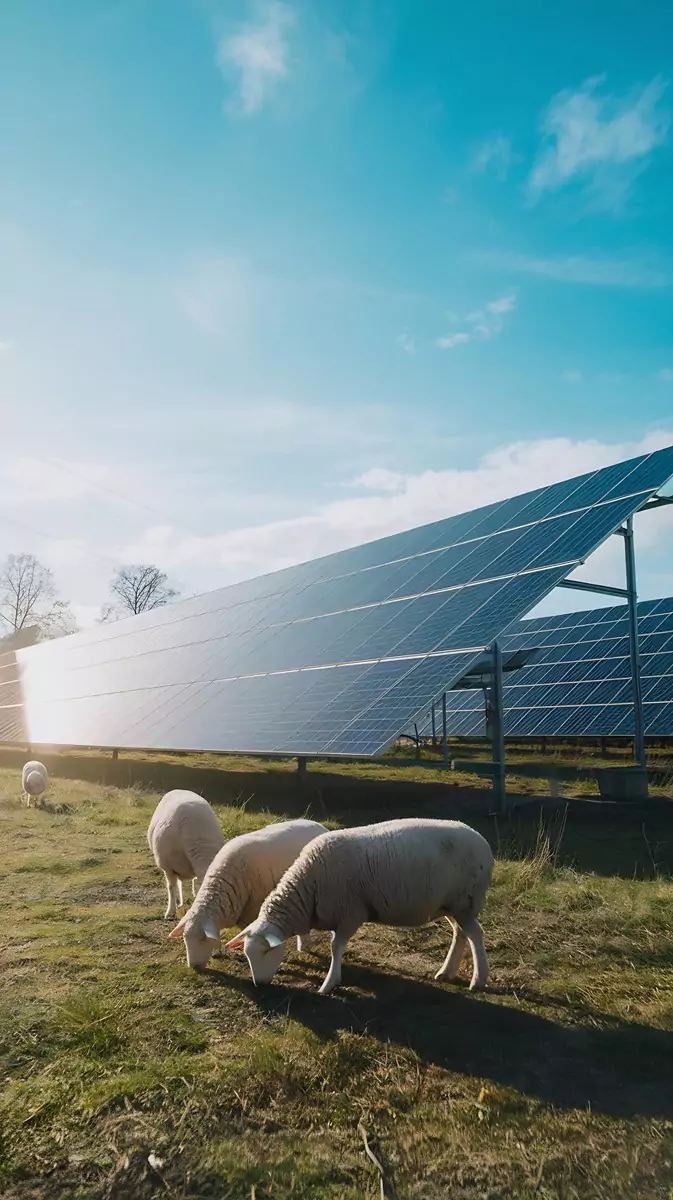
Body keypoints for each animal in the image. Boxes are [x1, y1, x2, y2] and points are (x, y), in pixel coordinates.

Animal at [166, 820, 326, 969]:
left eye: (202, 939)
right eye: (185, 939)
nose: (194, 967)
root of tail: (319, 825)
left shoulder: (252, 908)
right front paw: (216, 952)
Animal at [225, 816, 494, 993]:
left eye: (267, 951)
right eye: (247, 954)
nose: (259, 985)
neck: (308, 885)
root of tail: (481, 840)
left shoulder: (351, 914)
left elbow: (336, 947)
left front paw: (329, 983)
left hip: (465, 902)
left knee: (476, 935)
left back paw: (478, 980)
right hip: (451, 905)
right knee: (460, 934)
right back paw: (446, 972)